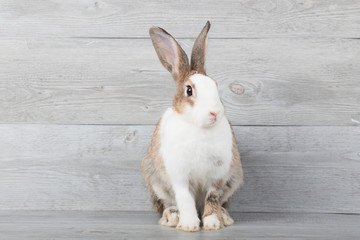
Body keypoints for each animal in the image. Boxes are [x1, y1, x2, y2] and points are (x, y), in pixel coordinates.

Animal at [142, 21, 243, 232]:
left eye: (215, 85)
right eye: (189, 90)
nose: (215, 112)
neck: (200, 127)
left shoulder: (218, 177)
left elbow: (212, 199)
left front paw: (212, 223)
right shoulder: (180, 177)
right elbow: (185, 199)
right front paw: (189, 225)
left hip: (234, 179)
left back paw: (225, 217)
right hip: (155, 180)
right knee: (168, 203)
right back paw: (172, 217)